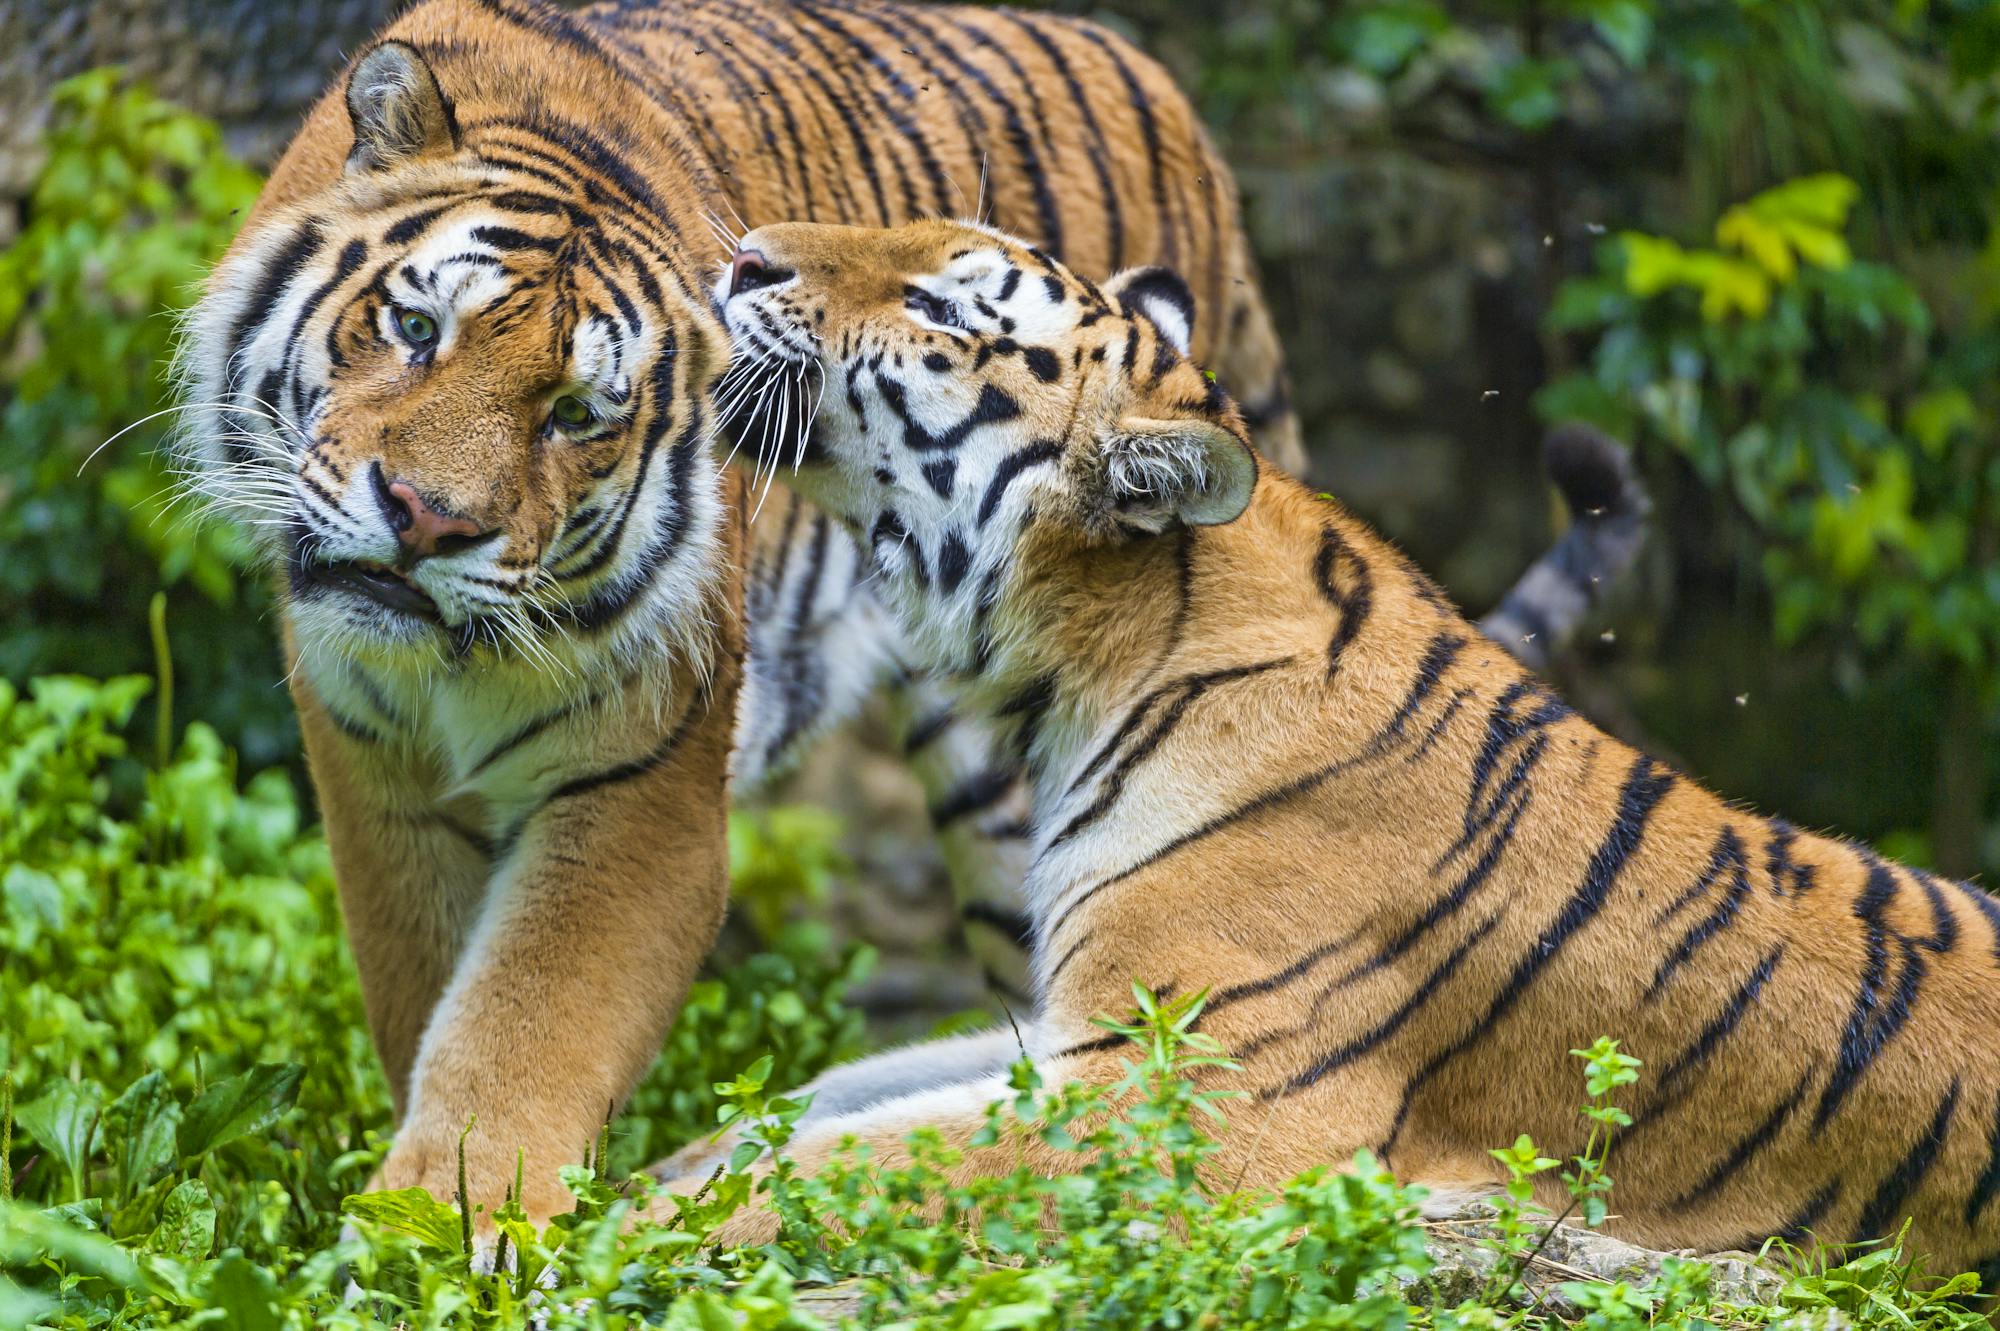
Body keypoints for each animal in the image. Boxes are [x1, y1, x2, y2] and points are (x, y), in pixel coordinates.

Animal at [173, 0, 1645, 1236]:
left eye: (577, 413)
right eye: (414, 328)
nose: (424, 520)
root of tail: (1152, 75)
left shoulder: (644, 779)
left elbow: (523, 1018)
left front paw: (448, 1229)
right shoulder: (373, 762)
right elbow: (429, 987)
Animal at [657, 215, 2000, 1281]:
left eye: (939, 305)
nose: (743, 257)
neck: (1097, 654)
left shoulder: (1189, 1093)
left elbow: (868, 1157)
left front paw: (646, 1224)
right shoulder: (1078, 1028)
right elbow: (826, 1104)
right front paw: (656, 1166)